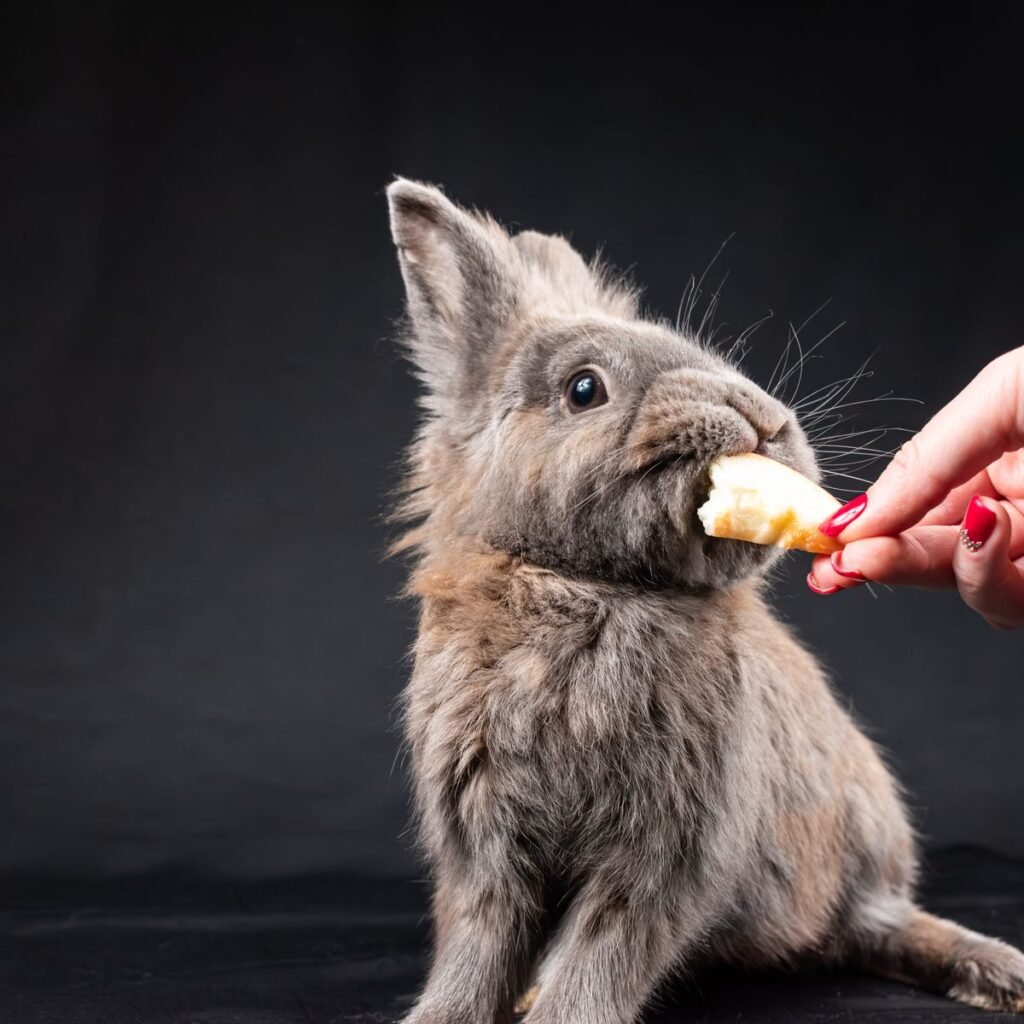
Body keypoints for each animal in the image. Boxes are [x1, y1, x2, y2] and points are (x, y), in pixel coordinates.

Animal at [385, 177, 1024, 1024]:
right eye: (583, 388)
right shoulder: (481, 838)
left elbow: (601, 953)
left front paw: (560, 1014)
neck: (596, 588)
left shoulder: (670, 845)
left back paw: (999, 972)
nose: (763, 419)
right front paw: (444, 1016)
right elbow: (477, 942)